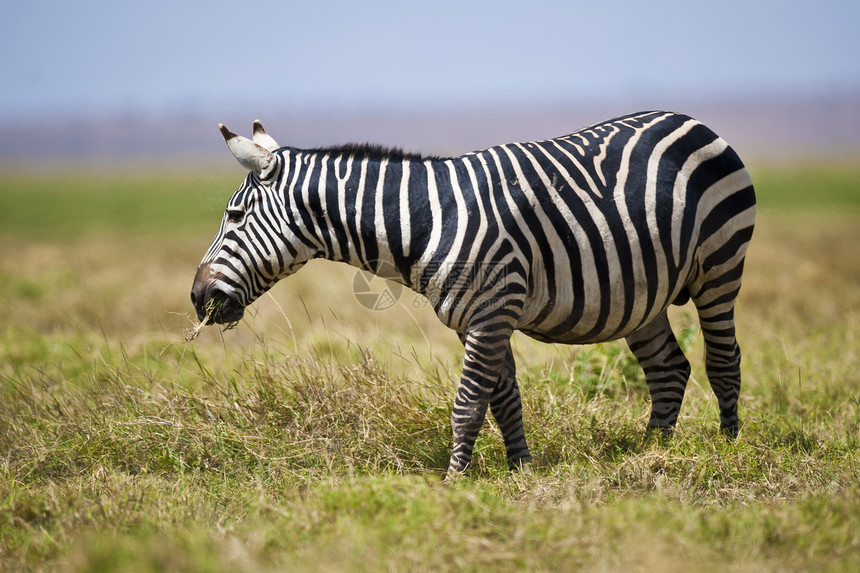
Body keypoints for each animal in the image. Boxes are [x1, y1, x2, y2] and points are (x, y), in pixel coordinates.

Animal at [191, 110, 756, 474]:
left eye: (234, 216)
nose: (197, 299)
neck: (423, 220)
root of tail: (689, 119)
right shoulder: (479, 319)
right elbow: (503, 397)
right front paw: (521, 470)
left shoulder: (491, 310)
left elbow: (468, 403)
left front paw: (454, 481)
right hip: (641, 293)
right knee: (668, 369)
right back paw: (652, 453)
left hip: (720, 266)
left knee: (723, 359)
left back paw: (728, 449)